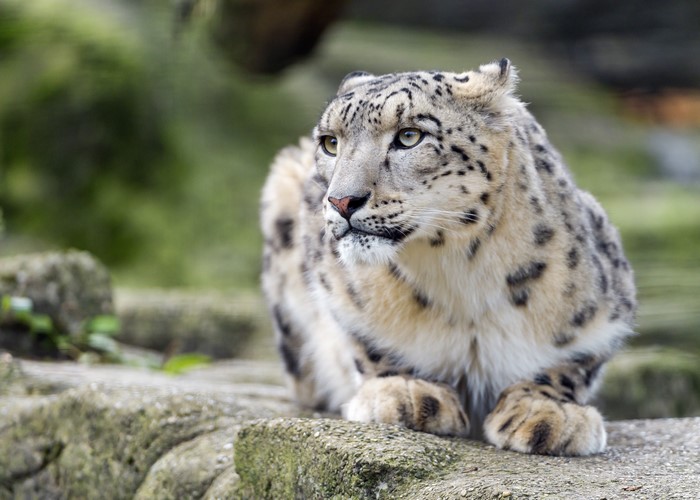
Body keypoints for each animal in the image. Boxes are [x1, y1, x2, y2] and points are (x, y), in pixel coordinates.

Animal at [260, 58, 636, 456]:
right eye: (330, 142)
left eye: (410, 136)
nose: (341, 201)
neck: (460, 274)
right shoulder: (334, 288)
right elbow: (364, 340)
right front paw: (406, 392)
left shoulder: (607, 306)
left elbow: (574, 359)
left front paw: (547, 412)